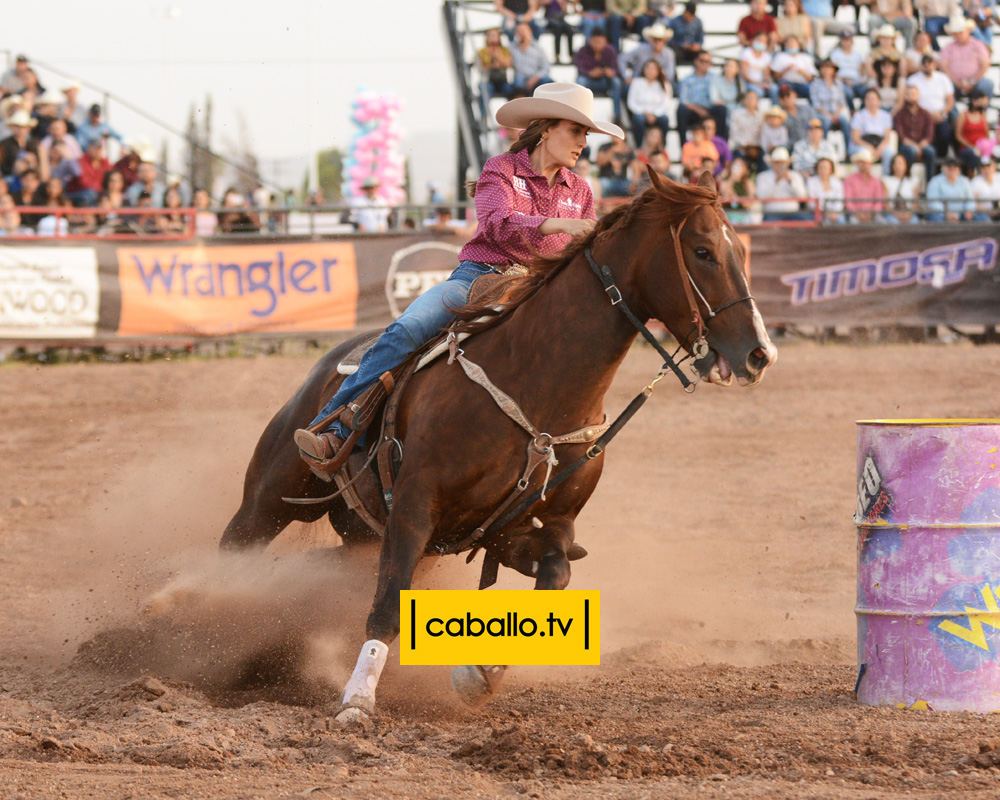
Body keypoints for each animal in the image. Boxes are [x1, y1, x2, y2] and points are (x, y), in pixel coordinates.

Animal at [218, 169, 777, 723]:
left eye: (740, 251)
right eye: (703, 251)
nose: (759, 354)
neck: (536, 384)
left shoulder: (529, 528)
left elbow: (556, 577)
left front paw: (479, 674)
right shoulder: (416, 507)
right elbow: (388, 603)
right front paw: (357, 701)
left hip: (359, 534)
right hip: (269, 499)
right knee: (235, 551)